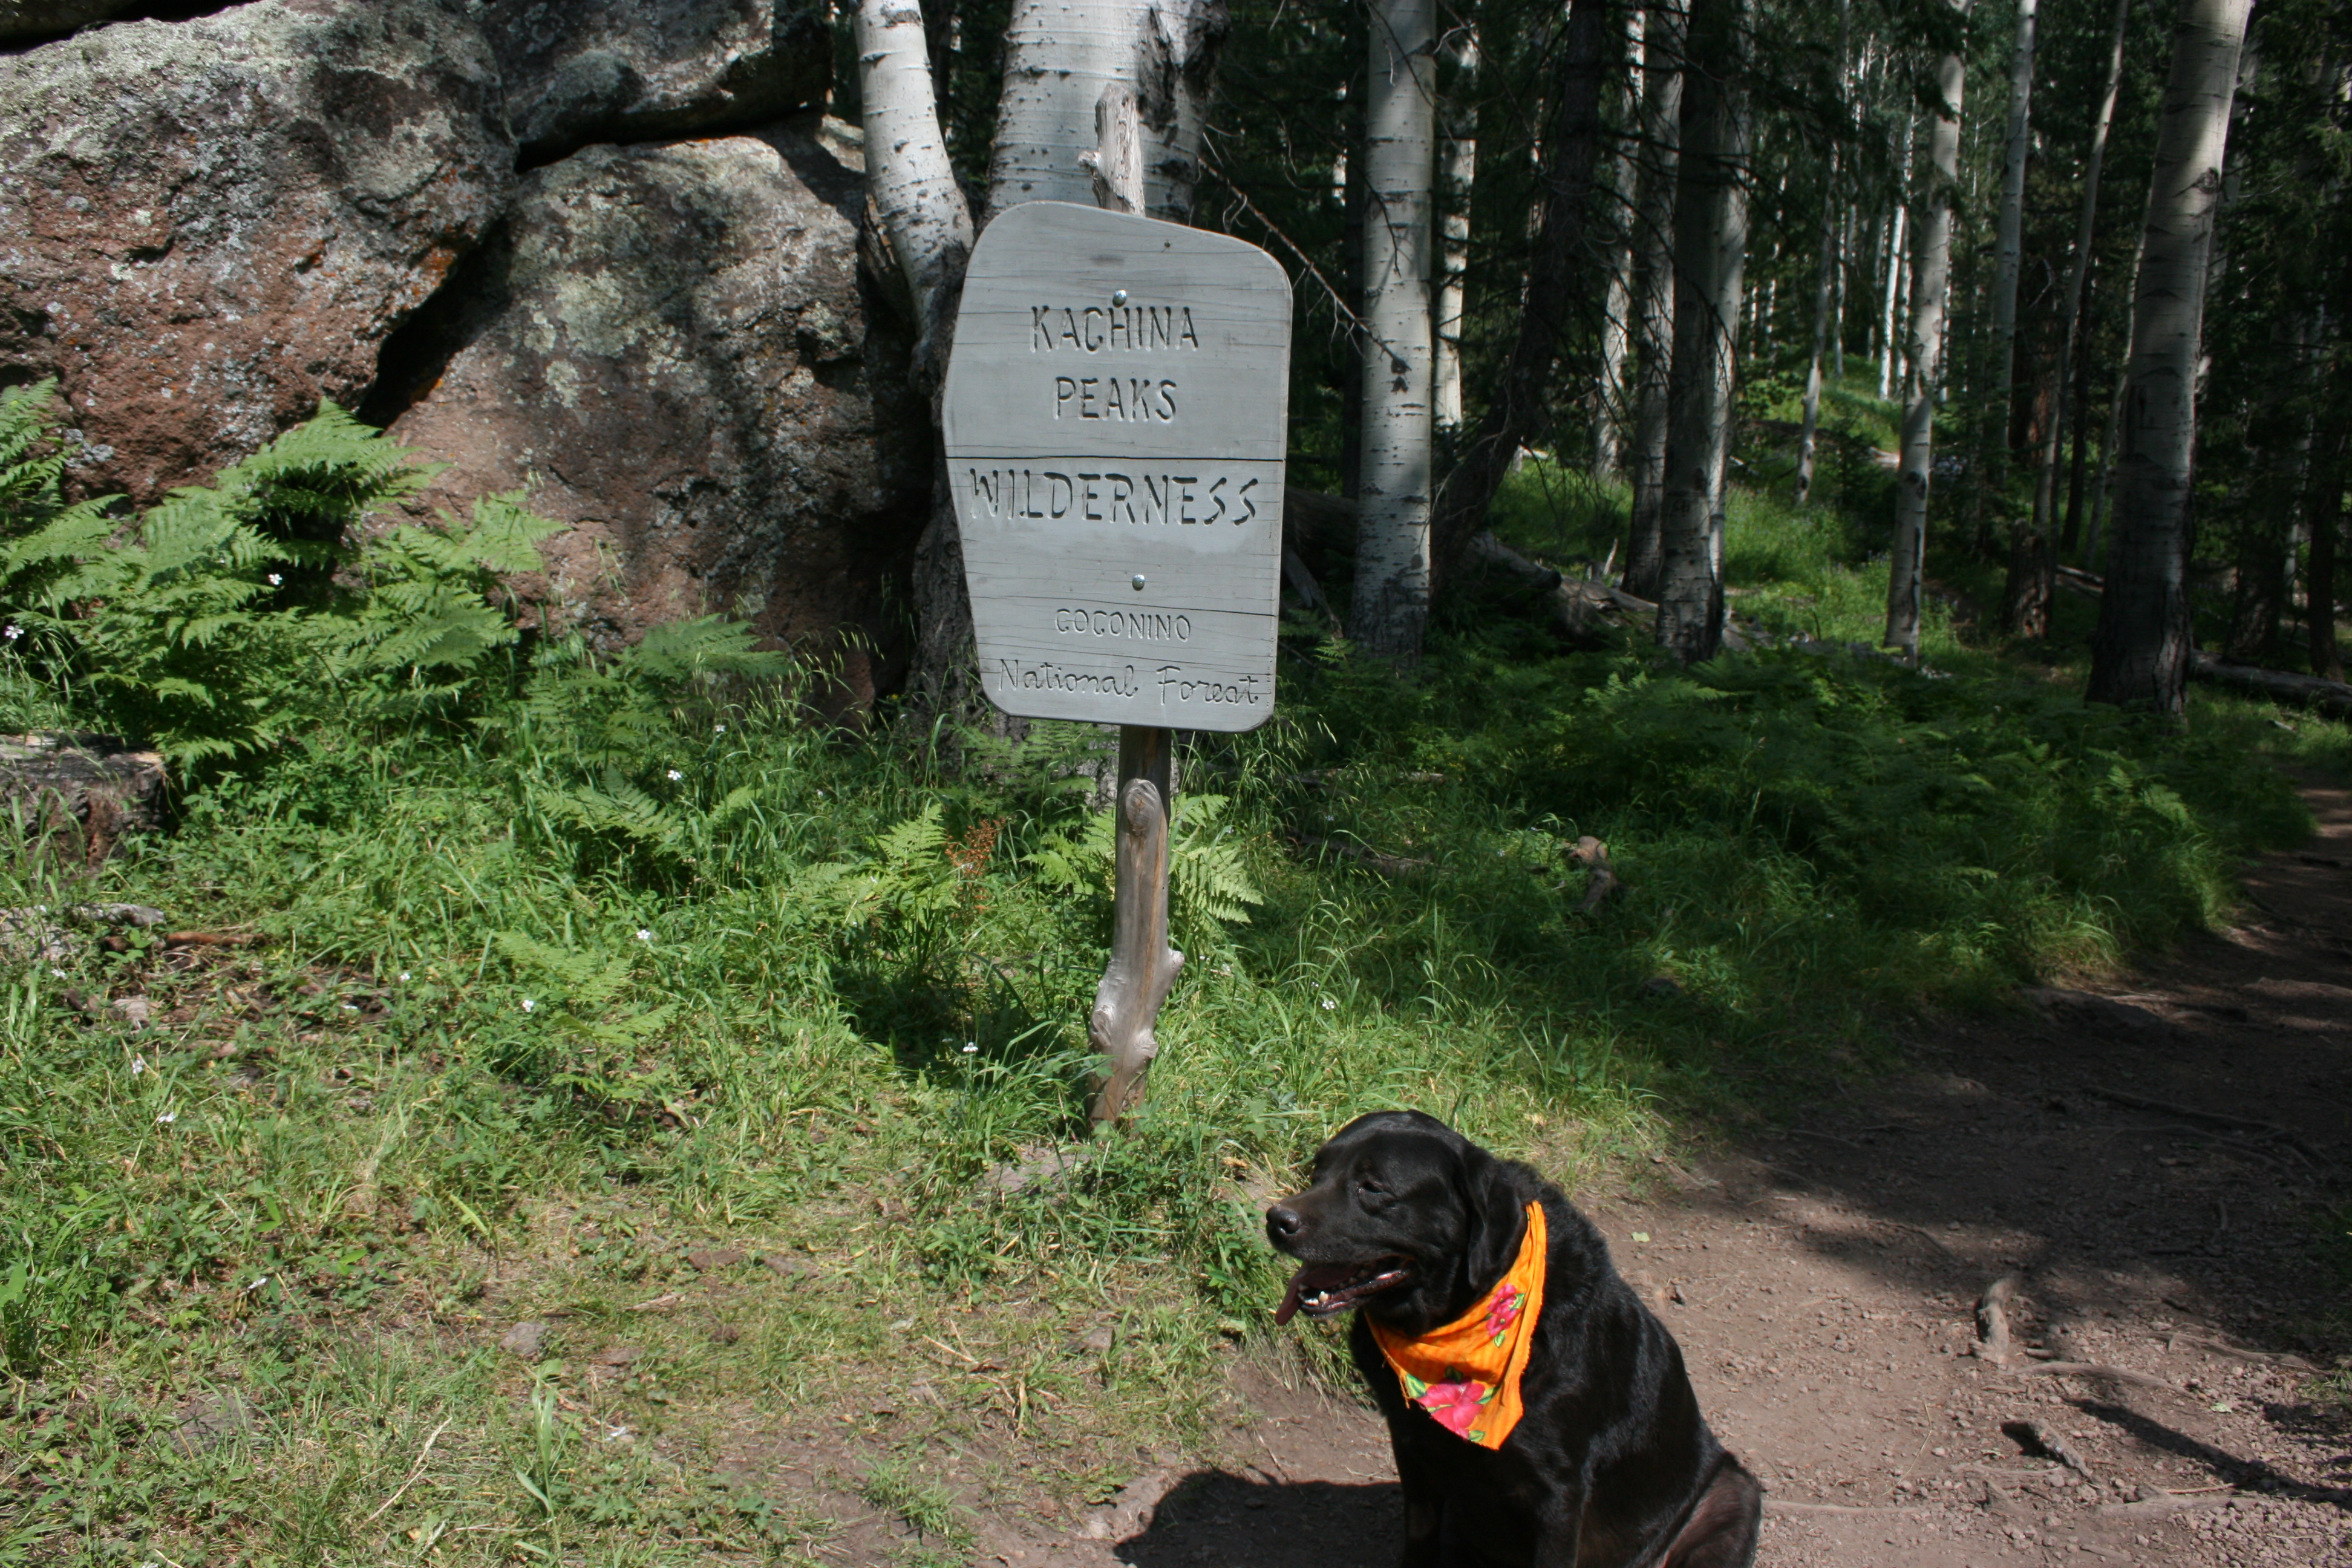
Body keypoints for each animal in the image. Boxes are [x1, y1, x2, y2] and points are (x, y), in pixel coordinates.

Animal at [1266, 1110, 1761, 1568]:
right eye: (1317, 1171)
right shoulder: (1413, 1452)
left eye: (1372, 1187)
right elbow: (1419, 1541)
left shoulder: (1558, 1494)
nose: (1276, 1220)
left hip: (1734, 1494)